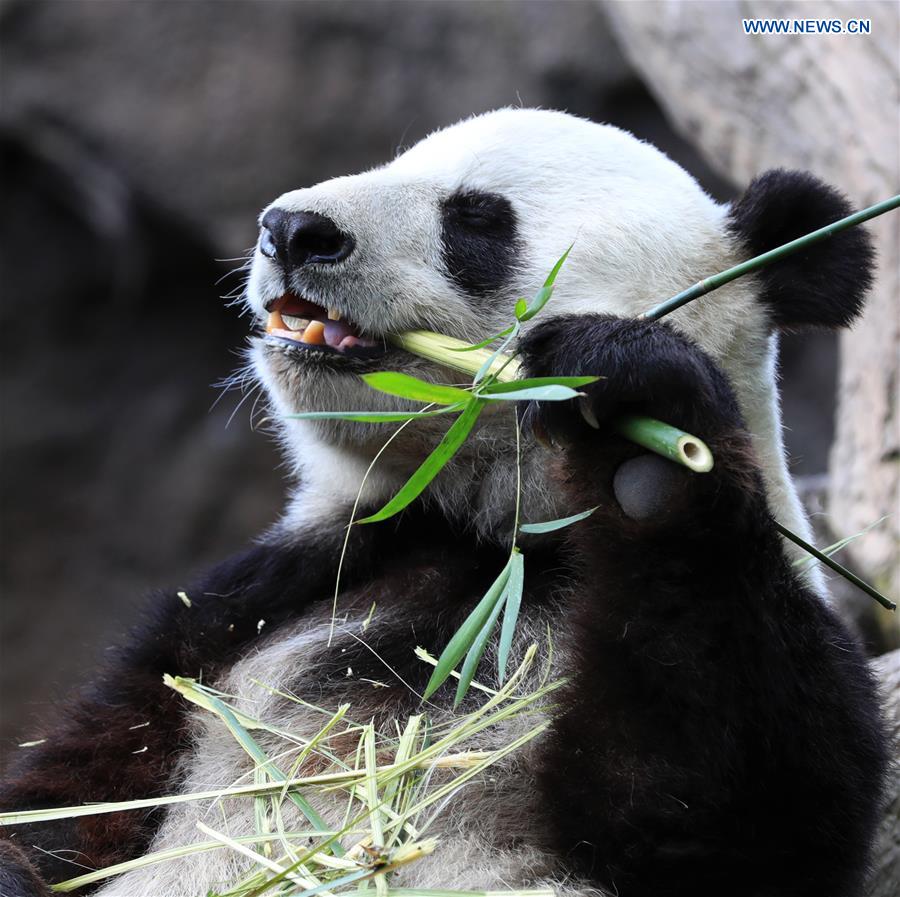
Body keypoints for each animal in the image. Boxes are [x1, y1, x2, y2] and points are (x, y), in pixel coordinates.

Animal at [0, 110, 884, 896]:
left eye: (477, 218)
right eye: (394, 163)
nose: (293, 229)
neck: (495, 527)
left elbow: (732, 813)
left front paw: (644, 444)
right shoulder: (256, 598)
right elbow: (73, 797)